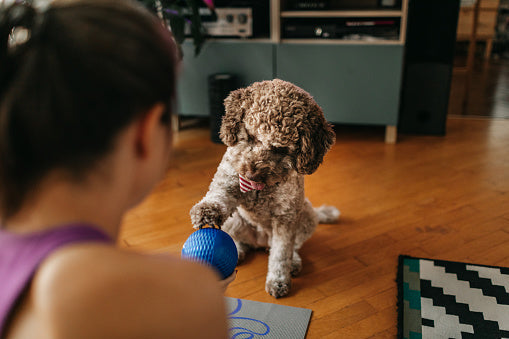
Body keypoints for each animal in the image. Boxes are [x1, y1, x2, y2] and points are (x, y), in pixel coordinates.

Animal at [189, 79, 340, 298]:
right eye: (250, 136)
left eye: (280, 149)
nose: (251, 174)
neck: (260, 188)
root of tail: (261, 241)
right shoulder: (227, 182)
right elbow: (218, 195)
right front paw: (206, 211)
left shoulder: (286, 219)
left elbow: (281, 254)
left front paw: (279, 280)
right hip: (235, 220)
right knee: (240, 239)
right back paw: (238, 249)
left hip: (307, 216)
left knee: (292, 247)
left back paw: (293, 262)